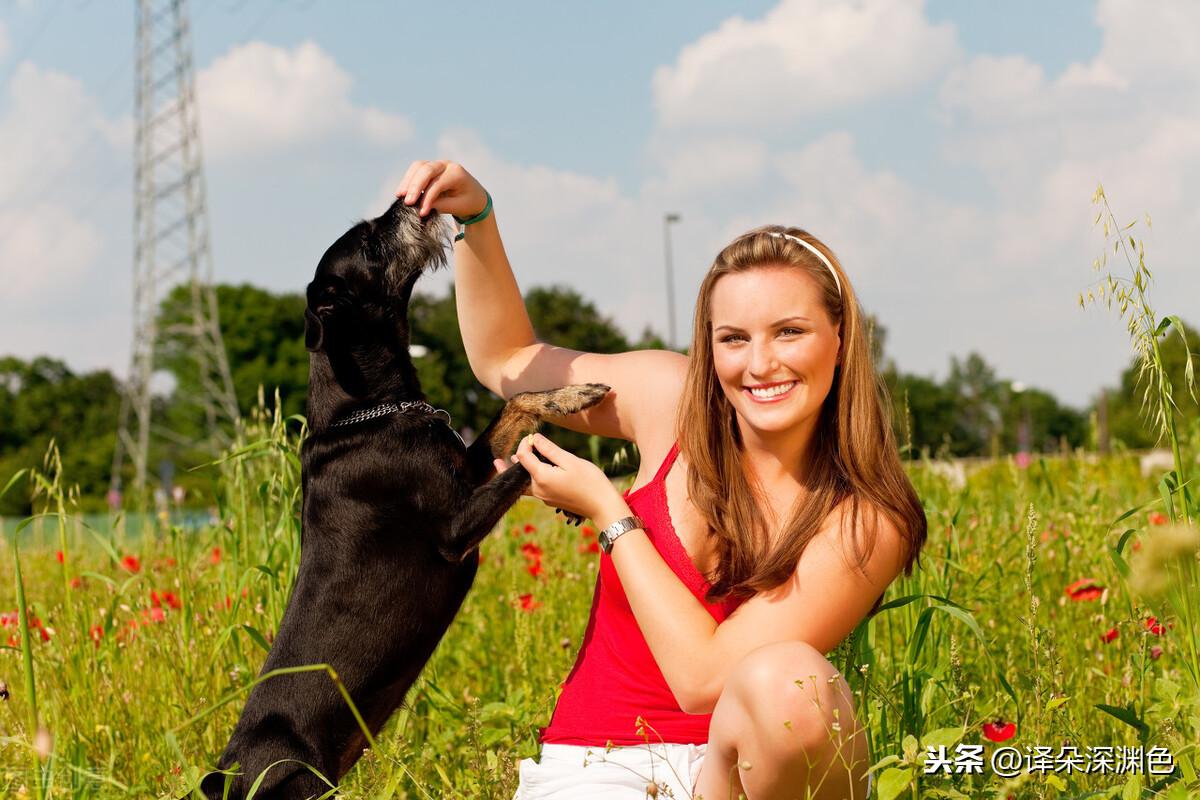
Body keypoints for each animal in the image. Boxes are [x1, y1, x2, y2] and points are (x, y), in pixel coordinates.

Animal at [198, 196, 614, 796]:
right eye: (369, 242)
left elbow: (518, 406)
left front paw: (574, 392)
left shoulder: (469, 466)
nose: (405, 200)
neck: (369, 411)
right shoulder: (456, 530)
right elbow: (526, 461)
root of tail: (225, 777)